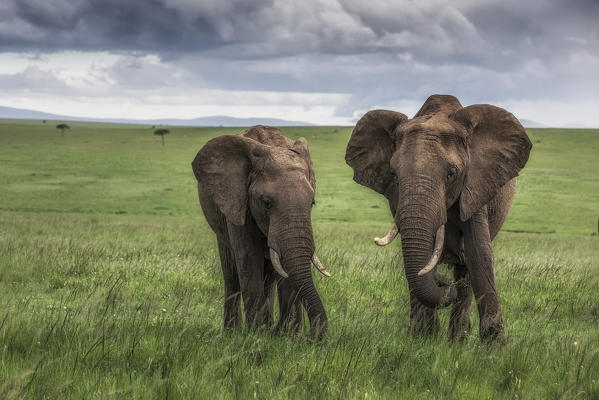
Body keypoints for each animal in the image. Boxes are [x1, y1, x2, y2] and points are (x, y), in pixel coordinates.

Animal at [192, 125, 330, 338]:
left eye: (312, 203)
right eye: (267, 203)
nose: (310, 335)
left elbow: (284, 268)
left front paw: (287, 335)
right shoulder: (238, 201)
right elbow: (249, 257)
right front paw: (256, 335)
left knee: (270, 275)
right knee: (231, 271)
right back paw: (234, 331)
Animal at [346, 94, 536, 340]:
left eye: (451, 174)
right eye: (394, 175)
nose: (443, 284)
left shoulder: (475, 186)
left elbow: (478, 254)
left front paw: (495, 348)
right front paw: (423, 338)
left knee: (465, 273)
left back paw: (457, 339)